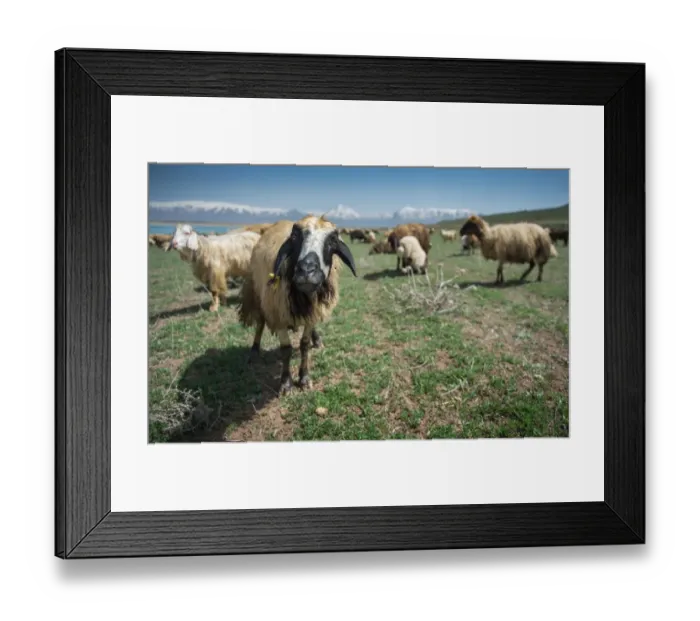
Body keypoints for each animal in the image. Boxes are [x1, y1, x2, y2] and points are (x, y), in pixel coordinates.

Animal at [238, 215, 357, 394]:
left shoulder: (311, 313)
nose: (306, 271)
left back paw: (317, 340)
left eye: (333, 240)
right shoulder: (277, 312)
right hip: (260, 296)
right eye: (294, 237)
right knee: (260, 323)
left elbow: (304, 345)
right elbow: (286, 349)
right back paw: (254, 350)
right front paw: (286, 383)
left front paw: (304, 378)